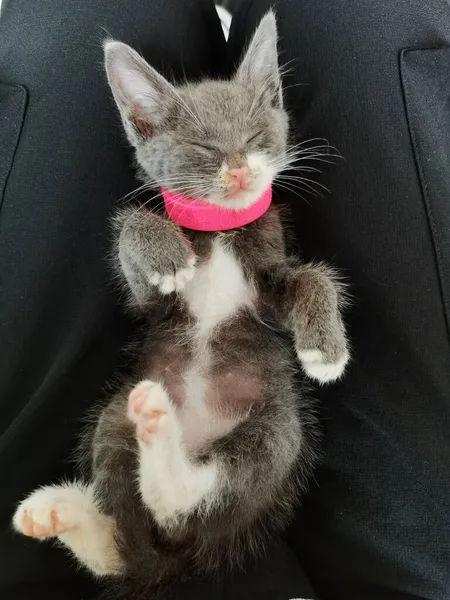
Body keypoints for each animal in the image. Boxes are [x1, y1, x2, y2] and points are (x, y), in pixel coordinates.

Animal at [10, 11, 348, 596]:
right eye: (205, 149)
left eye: (255, 136)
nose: (239, 170)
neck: (219, 230)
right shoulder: (150, 303)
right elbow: (132, 235)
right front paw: (162, 249)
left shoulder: (267, 282)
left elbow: (310, 279)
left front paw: (325, 350)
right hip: (110, 419)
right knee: (137, 542)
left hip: (279, 427)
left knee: (200, 494)